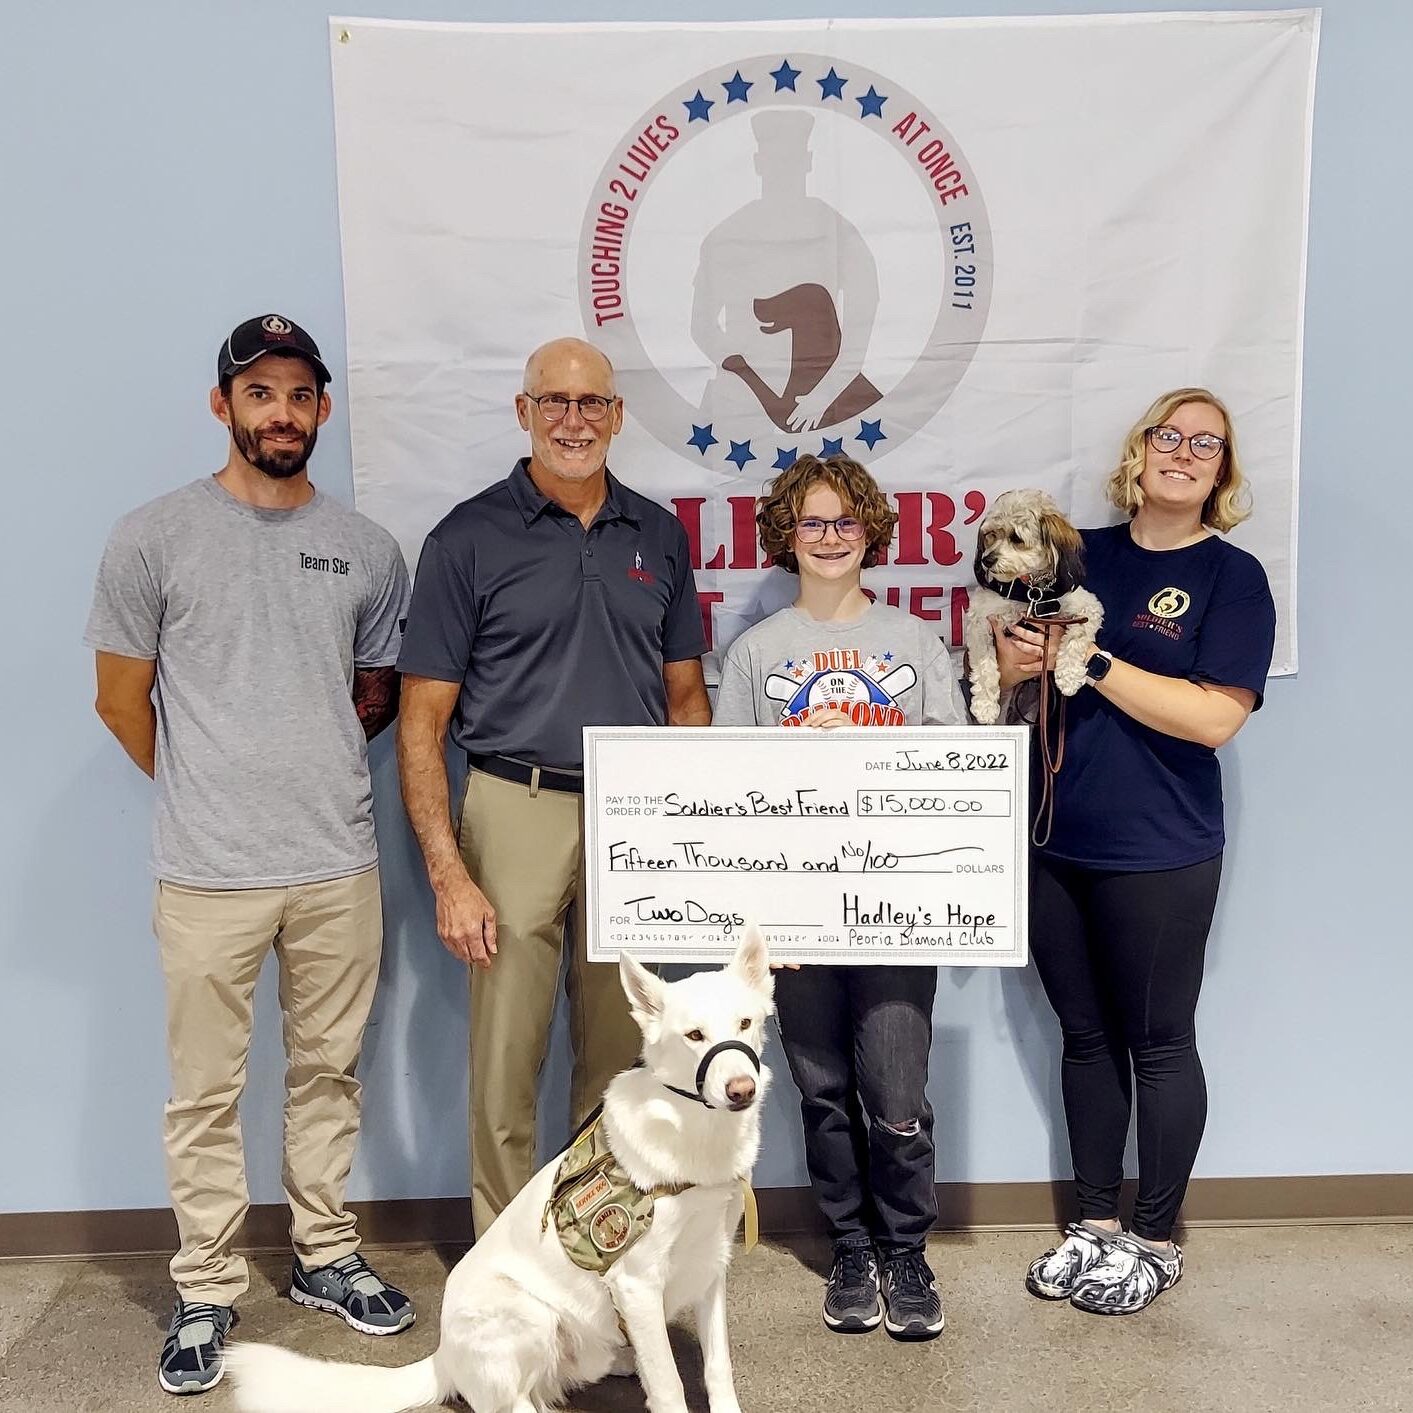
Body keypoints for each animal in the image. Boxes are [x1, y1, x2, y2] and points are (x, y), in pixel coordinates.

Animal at [235, 926, 779, 1413]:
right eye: (694, 1036)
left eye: (745, 1024)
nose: (742, 1090)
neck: (693, 1131)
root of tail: (445, 1356)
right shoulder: (637, 1283)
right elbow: (668, 1385)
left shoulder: (711, 1266)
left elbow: (717, 1368)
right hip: (529, 1313)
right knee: (513, 1403)